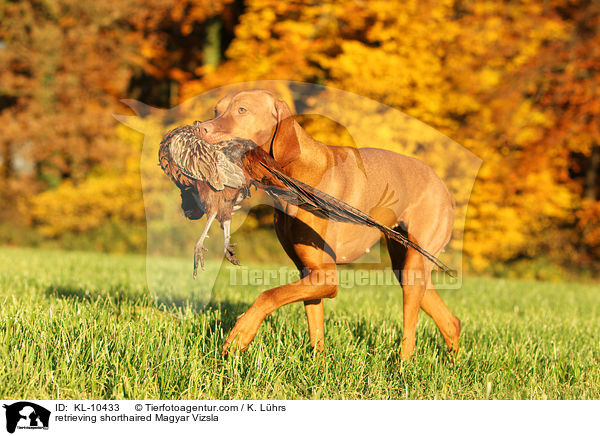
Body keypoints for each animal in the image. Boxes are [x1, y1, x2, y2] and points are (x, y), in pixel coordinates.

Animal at [197, 88, 460, 362]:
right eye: (216, 110)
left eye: (242, 110)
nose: (199, 128)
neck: (295, 170)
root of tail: (444, 188)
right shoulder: (309, 272)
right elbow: (315, 327)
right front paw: (317, 366)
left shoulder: (327, 277)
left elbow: (268, 294)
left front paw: (241, 333)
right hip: (406, 264)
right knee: (451, 321)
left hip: (413, 267)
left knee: (411, 332)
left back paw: (402, 366)